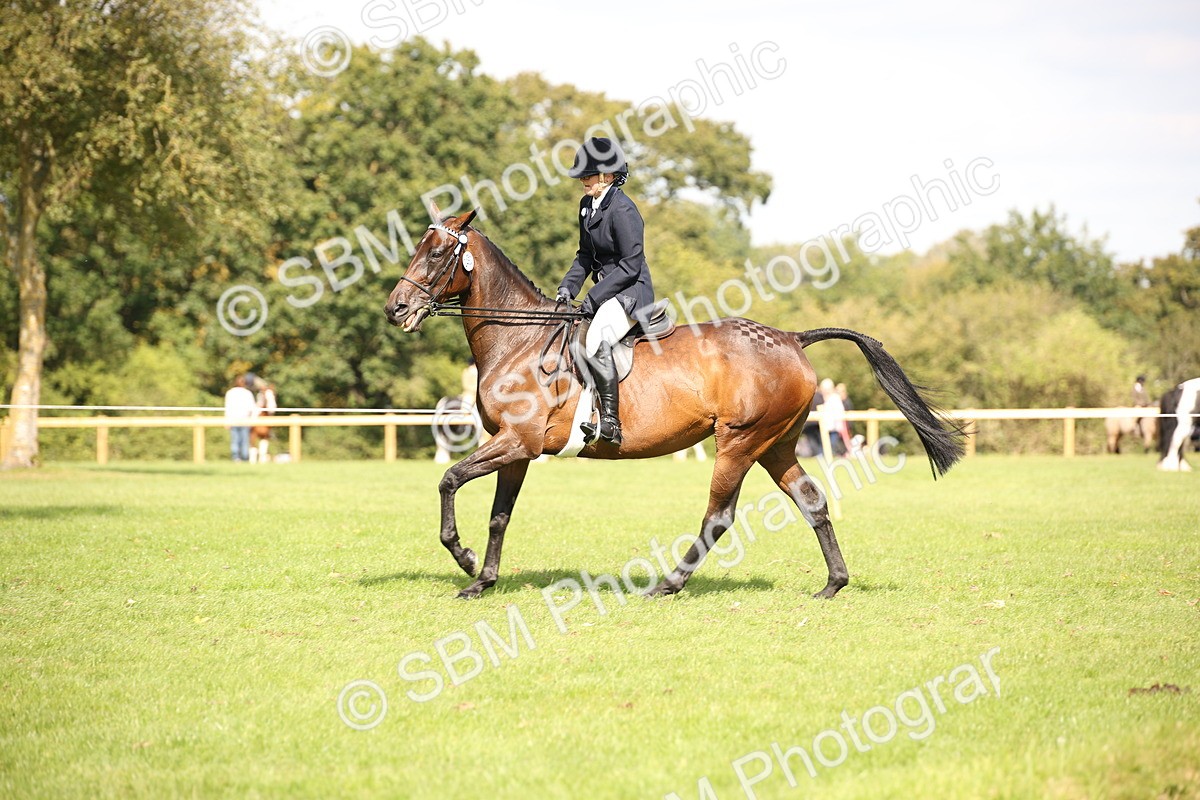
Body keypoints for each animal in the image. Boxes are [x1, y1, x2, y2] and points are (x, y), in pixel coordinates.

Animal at [384, 207, 967, 600]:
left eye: (435, 253)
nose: (396, 309)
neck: (520, 341)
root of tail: (791, 338)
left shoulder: (514, 442)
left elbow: (449, 480)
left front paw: (461, 558)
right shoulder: (517, 450)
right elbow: (499, 516)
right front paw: (481, 580)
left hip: (739, 442)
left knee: (719, 515)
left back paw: (667, 583)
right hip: (777, 445)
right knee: (812, 500)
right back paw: (832, 584)